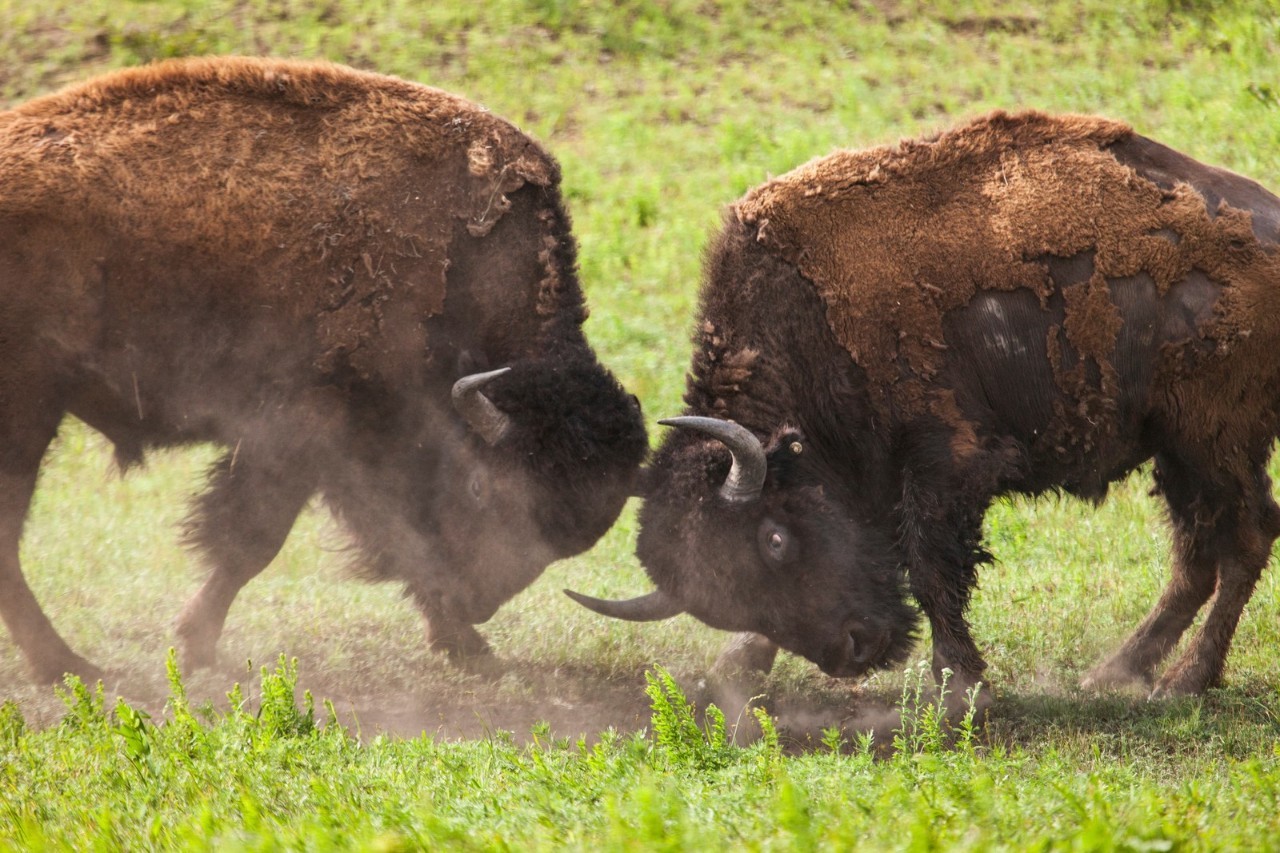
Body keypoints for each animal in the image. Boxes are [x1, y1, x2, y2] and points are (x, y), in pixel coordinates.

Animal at [0, 58, 645, 686]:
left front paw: (469, 647)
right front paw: (194, 645)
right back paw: (68, 666)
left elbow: (393, 538)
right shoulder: (305, 430)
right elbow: (255, 540)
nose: (477, 603)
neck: (460, 258)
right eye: (483, 488)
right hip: (27, 412)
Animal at [576, 109, 1280, 701]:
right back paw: (1115, 672)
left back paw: (1185, 681)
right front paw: (735, 667)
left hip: (1213, 440)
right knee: (1198, 553)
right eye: (722, 595)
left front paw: (959, 683)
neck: (809, 328)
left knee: (1243, 539)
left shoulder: (948, 463)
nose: (854, 650)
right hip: (1177, 450)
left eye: (774, 539)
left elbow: (932, 567)